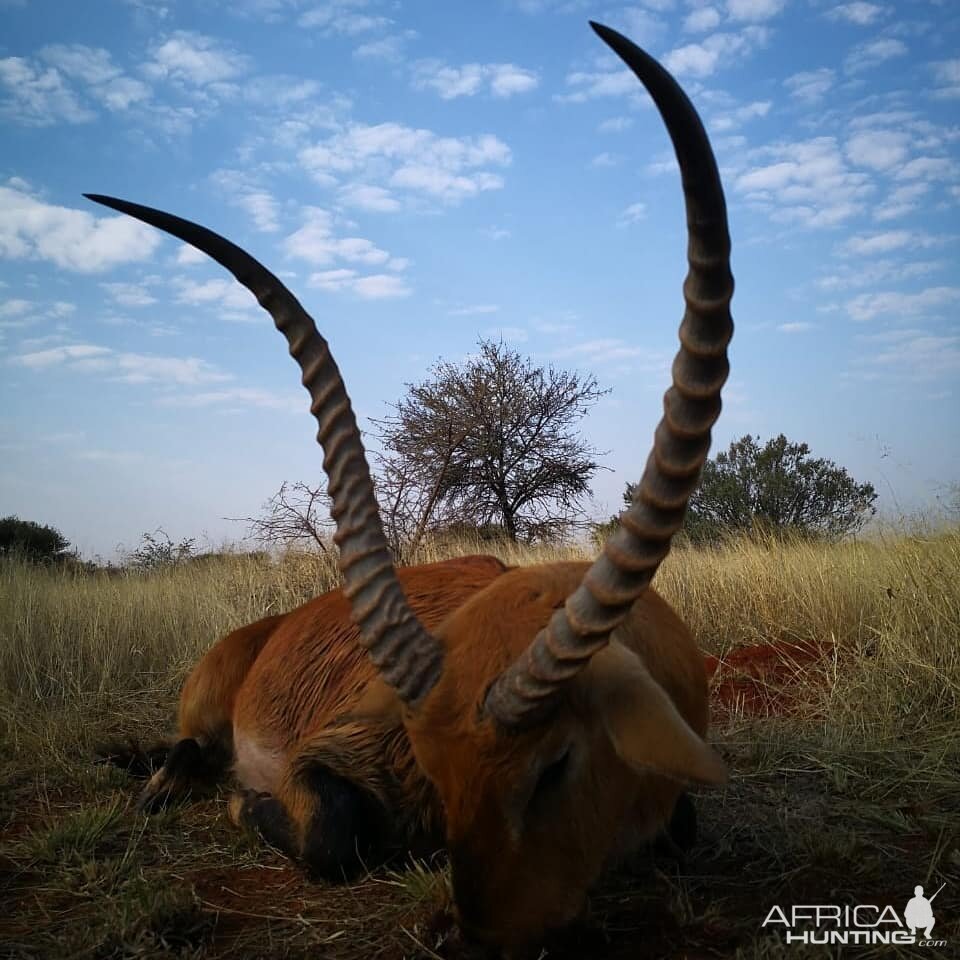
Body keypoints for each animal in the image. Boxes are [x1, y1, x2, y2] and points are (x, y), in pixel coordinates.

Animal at [92, 22, 736, 952]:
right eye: (435, 765)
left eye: (554, 767)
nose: (475, 936)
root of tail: (268, 625)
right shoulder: (335, 755)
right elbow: (330, 835)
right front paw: (245, 806)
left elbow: (685, 828)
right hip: (205, 708)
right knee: (184, 755)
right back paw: (171, 788)